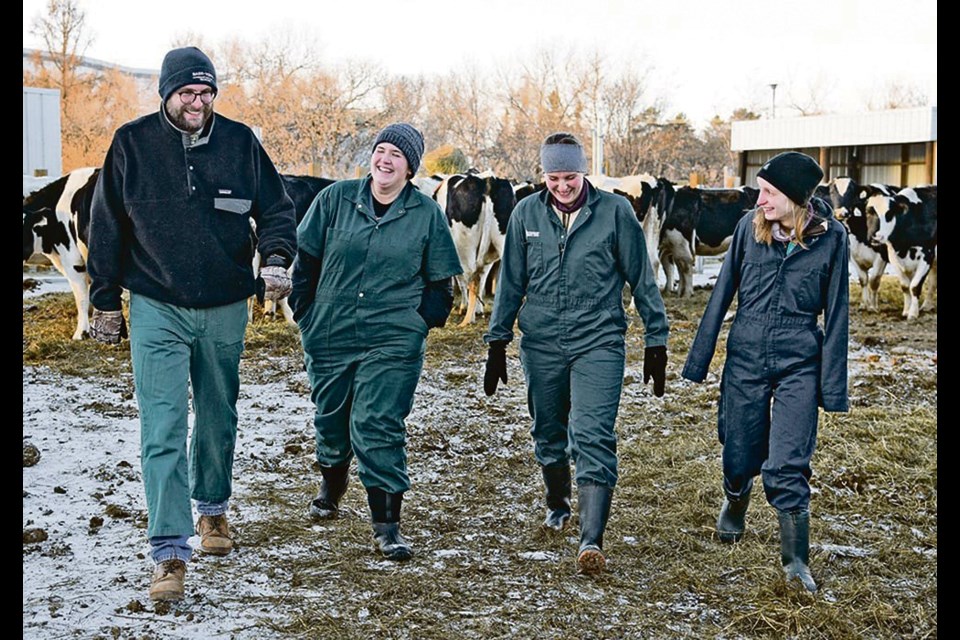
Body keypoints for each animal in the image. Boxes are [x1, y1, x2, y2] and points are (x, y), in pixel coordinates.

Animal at [436, 171, 516, 324]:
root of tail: (488, 180)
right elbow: (482, 279)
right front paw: (479, 310)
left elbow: (462, 279)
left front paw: (464, 307)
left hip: (464, 249)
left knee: (469, 277)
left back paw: (468, 318)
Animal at [828, 179, 904, 312]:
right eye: (832, 191)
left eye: (852, 192)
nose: (841, 213)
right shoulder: (852, 255)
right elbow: (863, 279)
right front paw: (864, 304)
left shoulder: (882, 257)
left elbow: (874, 281)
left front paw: (873, 306)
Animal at [864, 185, 936, 320]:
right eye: (868, 212)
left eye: (889, 214)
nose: (874, 236)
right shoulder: (893, 256)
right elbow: (905, 286)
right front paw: (906, 311)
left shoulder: (927, 255)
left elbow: (915, 286)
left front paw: (913, 313)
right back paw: (927, 306)